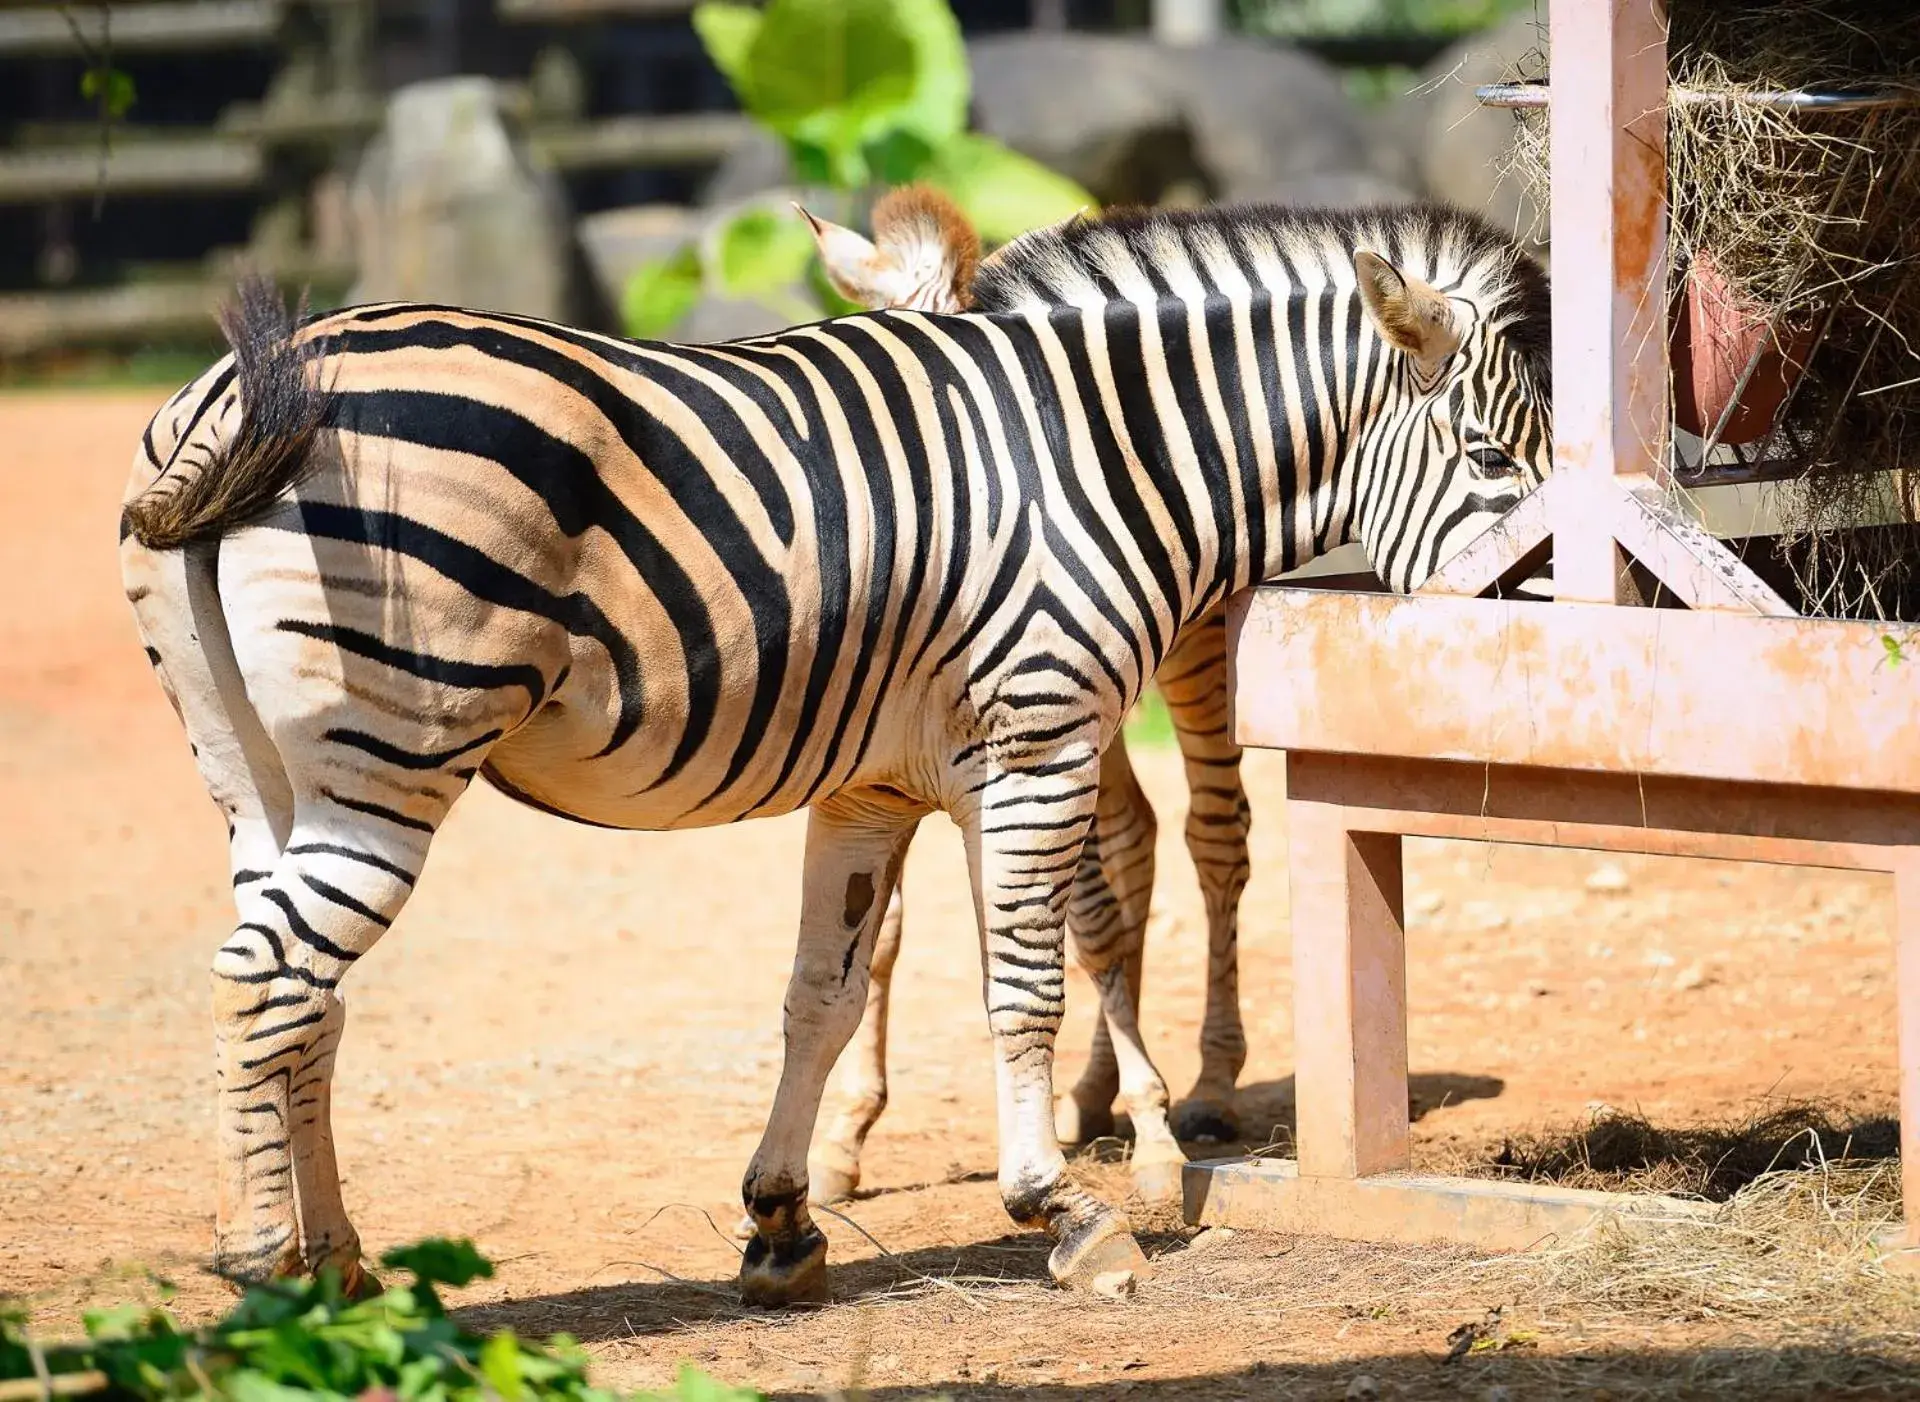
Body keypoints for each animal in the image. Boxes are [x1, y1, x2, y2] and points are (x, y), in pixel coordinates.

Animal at [120, 193, 1551, 1298]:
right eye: (1495, 460)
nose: (1569, 616)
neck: (1097, 457)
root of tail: (246, 389)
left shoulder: (877, 783)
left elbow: (824, 990)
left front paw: (782, 1220)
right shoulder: (1037, 737)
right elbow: (1022, 981)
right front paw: (1062, 1209)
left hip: (260, 778)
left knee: (306, 996)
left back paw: (338, 1263)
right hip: (395, 756)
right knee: (267, 978)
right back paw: (261, 1263)